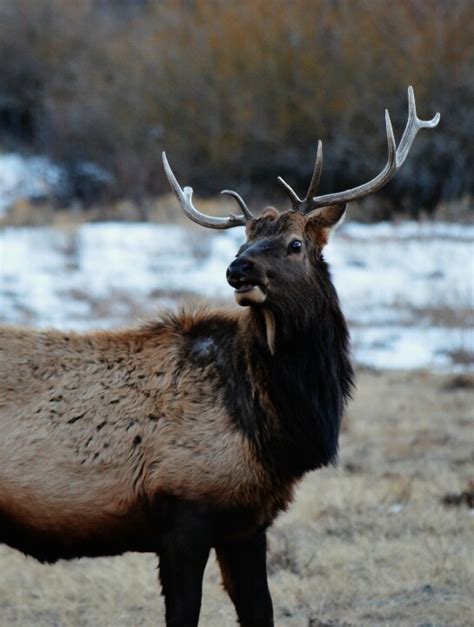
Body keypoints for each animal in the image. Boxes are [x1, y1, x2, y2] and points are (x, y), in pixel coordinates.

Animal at [0, 89, 436, 627]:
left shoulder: (246, 520)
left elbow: (260, 611)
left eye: (295, 243)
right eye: (243, 239)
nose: (237, 268)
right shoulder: (186, 504)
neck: (275, 429)